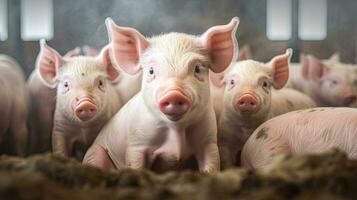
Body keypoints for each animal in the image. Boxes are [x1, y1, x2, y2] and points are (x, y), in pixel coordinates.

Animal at [83, 17, 239, 173]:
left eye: (197, 69)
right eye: (151, 71)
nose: (174, 94)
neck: (176, 130)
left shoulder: (209, 141)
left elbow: (211, 165)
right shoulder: (136, 142)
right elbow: (136, 165)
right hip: (96, 152)